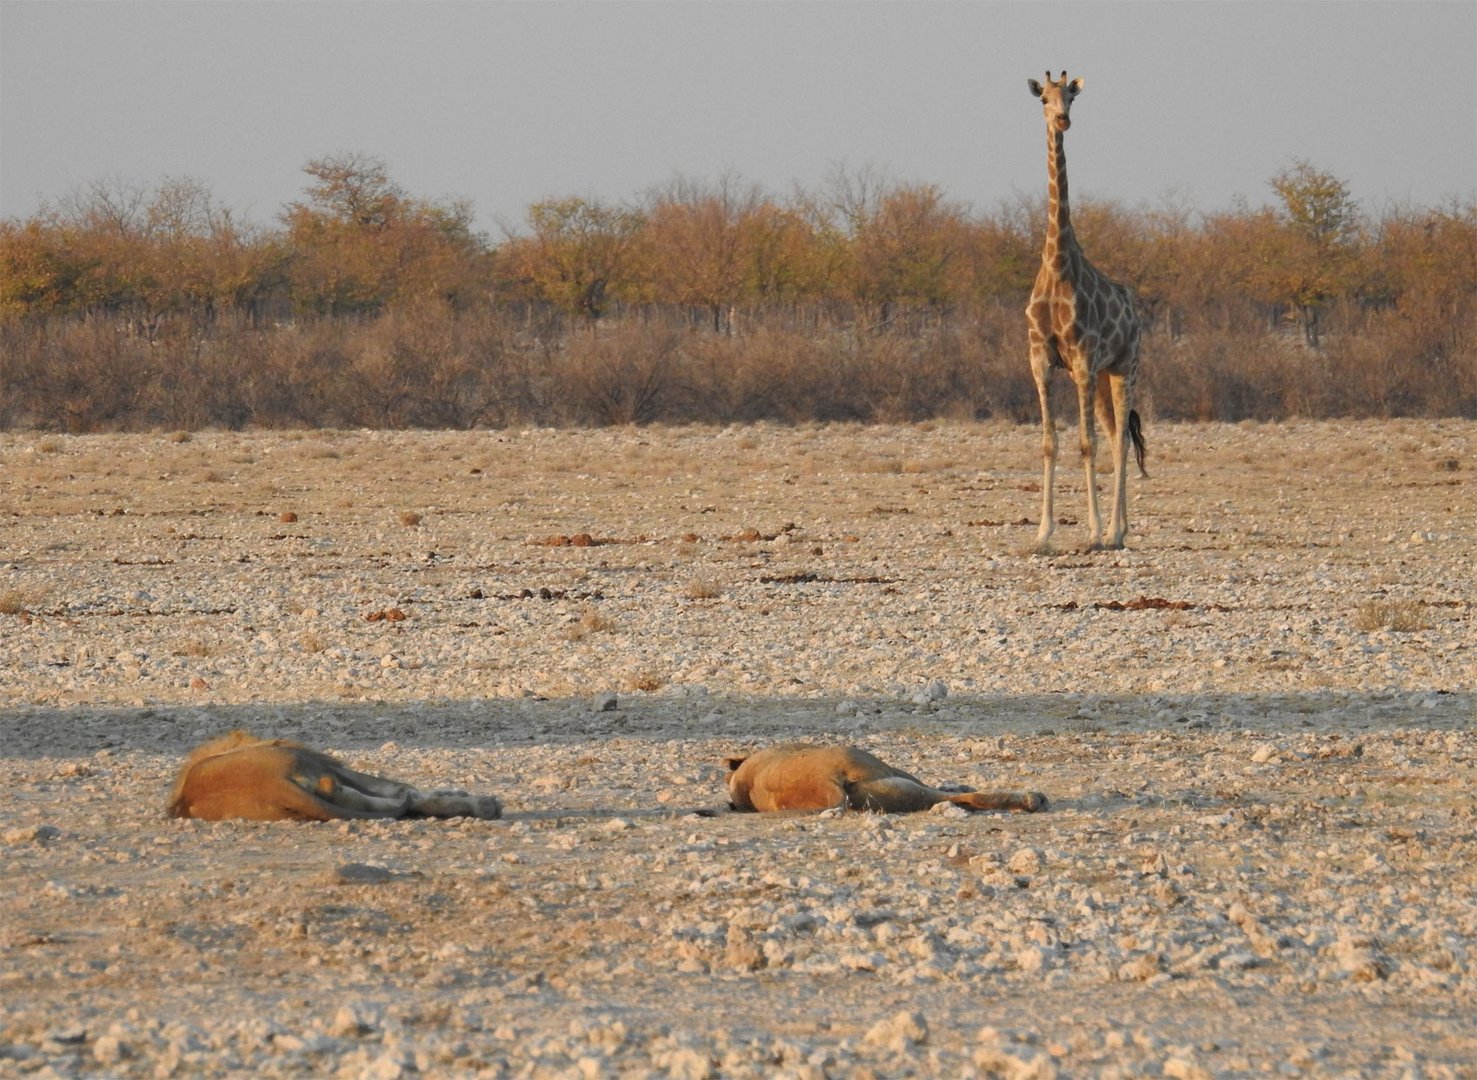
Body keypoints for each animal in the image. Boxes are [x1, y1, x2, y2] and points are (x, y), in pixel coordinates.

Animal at [1022, 71, 1146, 552]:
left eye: (1071, 97)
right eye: (1044, 98)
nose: (1063, 120)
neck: (1058, 265)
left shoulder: (1081, 361)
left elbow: (1085, 444)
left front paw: (1091, 531)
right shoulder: (1040, 360)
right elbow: (1050, 443)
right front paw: (1043, 533)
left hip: (1124, 366)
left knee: (1120, 441)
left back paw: (1113, 533)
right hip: (1103, 376)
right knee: (1116, 435)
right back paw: (1119, 528)